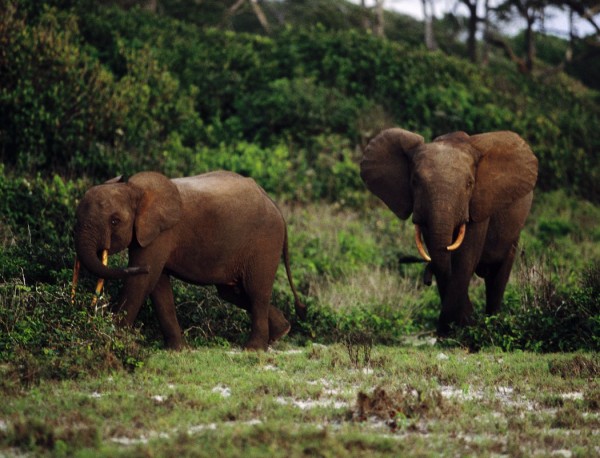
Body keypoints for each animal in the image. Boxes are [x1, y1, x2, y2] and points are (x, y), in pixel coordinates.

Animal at [73, 171, 308, 350]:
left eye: (114, 221)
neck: (133, 190)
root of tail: (276, 207)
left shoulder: (161, 234)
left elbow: (142, 282)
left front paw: (114, 339)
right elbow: (158, 287)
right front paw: (177, 350)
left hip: (265, 242)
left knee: (256, 292)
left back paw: (253, 349)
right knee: (233, 293)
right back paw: (280, 333)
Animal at [358, 127, 536, 334]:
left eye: (469, 184)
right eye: (414, 181)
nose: (427, 281)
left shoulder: (479, 203)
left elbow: (465, 257)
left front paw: (459, 329)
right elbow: (439, 255)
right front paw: (456, 329)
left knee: (497, 278)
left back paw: (492, 324)